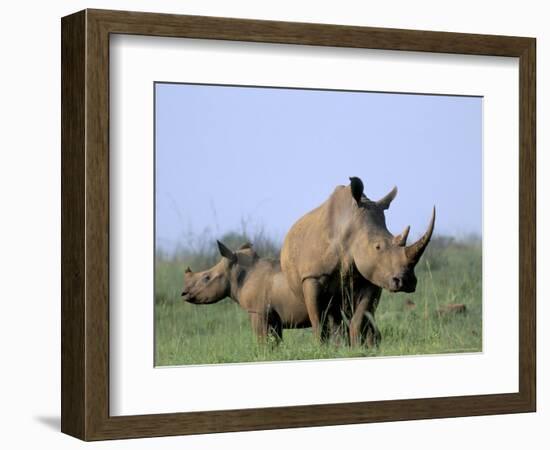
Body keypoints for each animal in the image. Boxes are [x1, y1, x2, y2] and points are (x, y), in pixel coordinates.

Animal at [183, 241, 312, 342]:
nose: (183, 293)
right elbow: (275, 342)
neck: (236, 274)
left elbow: (264, 342)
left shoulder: (258, 312)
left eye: (207, 278)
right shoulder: (273, 318)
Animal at [282, 176, 438, 344]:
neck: (350, 228)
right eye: (377, 247)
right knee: (332, 313)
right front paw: (322, 346)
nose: (407, 281)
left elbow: (361, 316)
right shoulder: (312, 276)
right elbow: (318, 321)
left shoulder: (373, 276)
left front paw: (358, 345)